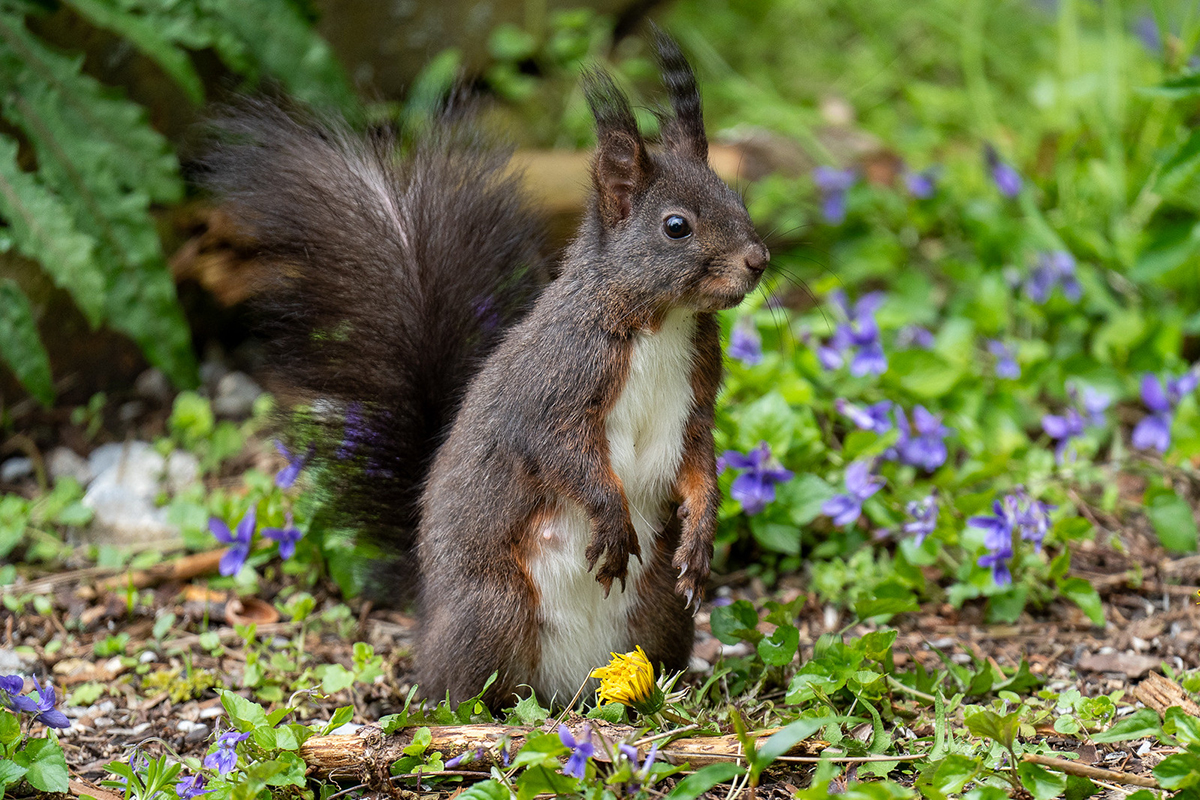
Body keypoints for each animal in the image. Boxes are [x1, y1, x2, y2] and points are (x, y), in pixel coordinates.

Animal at [201, 29, 768, 709]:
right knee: (460, 685)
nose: (759, 260)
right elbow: (561, 451)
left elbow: (698, 462)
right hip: (493, 610)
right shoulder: (553, 384)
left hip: (657, 611)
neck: (661, 323)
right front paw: (611, 518)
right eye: (676, 226)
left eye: (737, 197)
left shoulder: (696, 400)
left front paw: (701, 535)